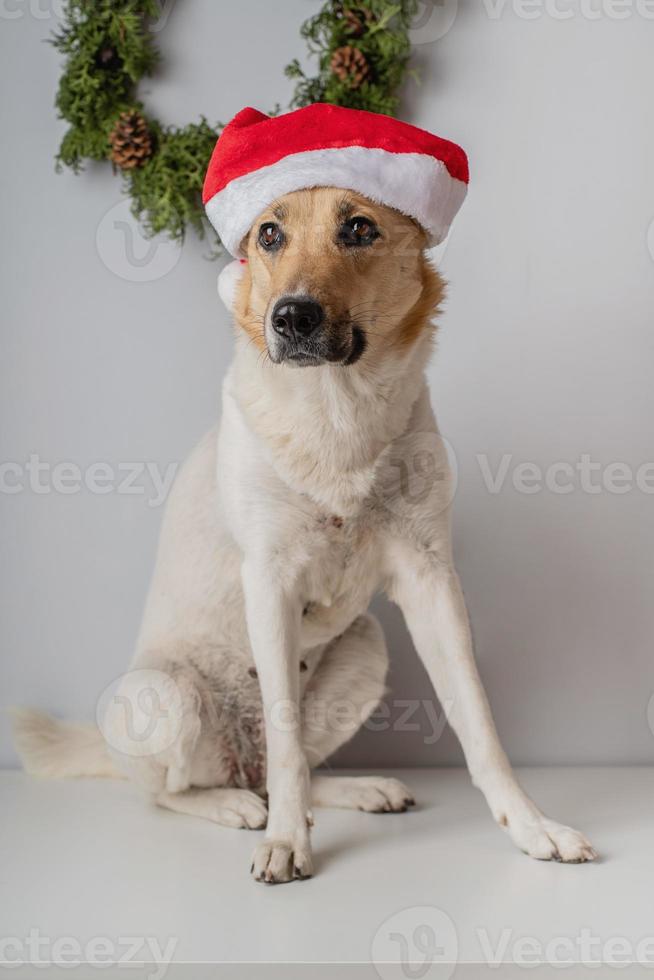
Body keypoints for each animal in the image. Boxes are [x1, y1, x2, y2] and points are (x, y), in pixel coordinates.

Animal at [15, 184, 600, 880]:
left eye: (359, 228)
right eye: (269, 234)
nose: (291, 317)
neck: (338, 412)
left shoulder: (431, 579)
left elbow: (477, 721)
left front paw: (531, 826)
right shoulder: (270, 583)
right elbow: (286, 736)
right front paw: (288, 842)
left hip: (368, 646)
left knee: (283, 771)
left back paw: (357, 789)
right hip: (166, 694)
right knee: (179, 791)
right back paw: (237, 806)